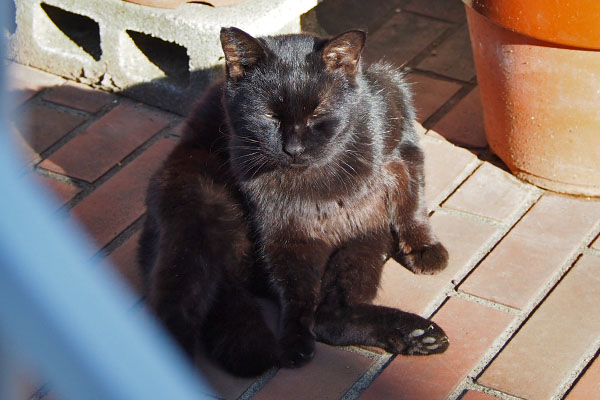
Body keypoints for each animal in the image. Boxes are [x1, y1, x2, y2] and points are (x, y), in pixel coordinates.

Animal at [139, 26, 450, 376]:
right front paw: (293, 342)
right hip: (194, 216)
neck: (318, 185)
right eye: (268, 116)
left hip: (364, 239)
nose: (293, 148)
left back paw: (418, 336)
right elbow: (296, 293)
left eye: (319, 114)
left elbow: (413, 200)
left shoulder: (401, 149)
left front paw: (424, 248)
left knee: (333, 315)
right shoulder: (286, 237)